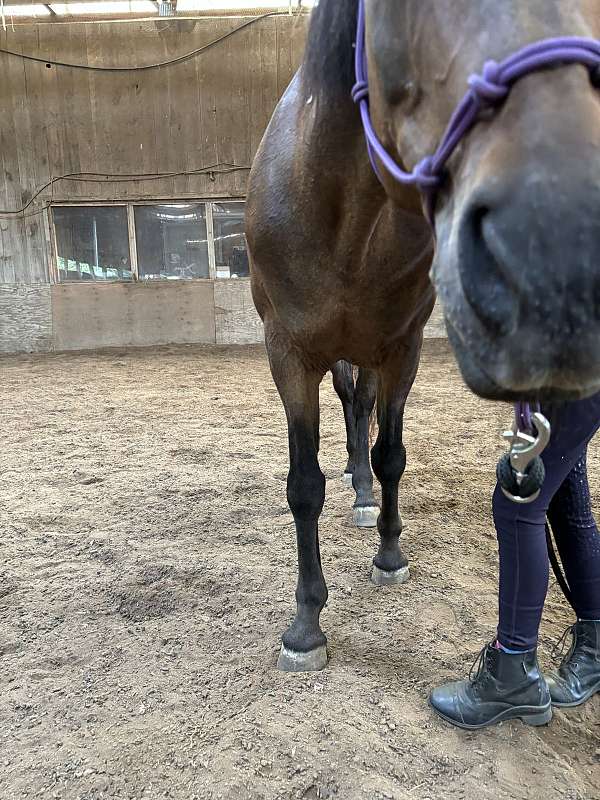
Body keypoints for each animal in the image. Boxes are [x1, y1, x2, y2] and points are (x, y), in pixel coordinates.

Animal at [246, 0, 600, 672]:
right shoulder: (290, 356)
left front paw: (389, 555)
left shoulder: (399, 352)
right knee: (350, 412)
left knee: (363, 417)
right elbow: (304, 485)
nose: (560, 258)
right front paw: (305, 626)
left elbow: (390, 454)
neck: (345, 224)